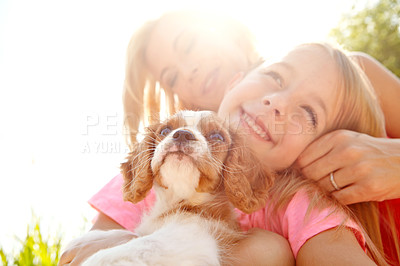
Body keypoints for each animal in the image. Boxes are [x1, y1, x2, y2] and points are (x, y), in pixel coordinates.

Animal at [83, 110, 274, 266]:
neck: (178, 200)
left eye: (217, 136)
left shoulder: (195, 236)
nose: (182, 134)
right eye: (165, 131)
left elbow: (140, 246)